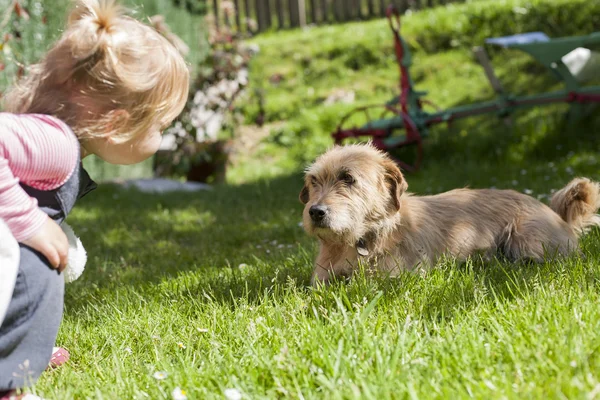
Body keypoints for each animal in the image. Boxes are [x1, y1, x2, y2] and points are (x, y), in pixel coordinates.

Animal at [300, 144, 600, 284]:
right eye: (314, 181)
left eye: (347, 178)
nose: (316, 212)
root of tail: (557, 216)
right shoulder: (321, 280)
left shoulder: (398, 278)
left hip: (528, 241)